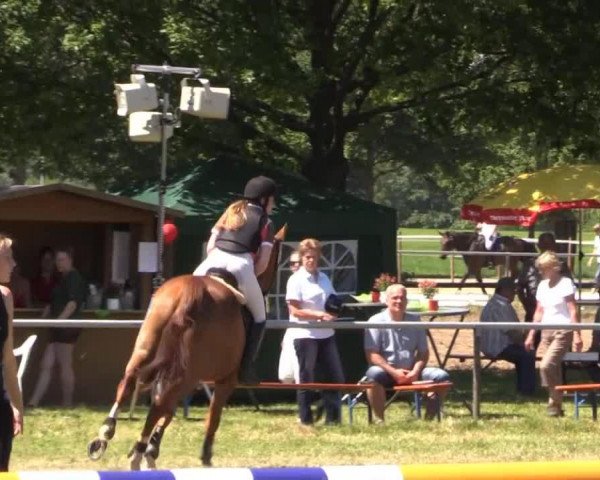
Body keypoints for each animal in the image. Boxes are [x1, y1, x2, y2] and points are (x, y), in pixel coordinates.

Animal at [86, 225, 288, 468]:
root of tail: (188, 295)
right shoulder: (224, 380)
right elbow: (212, 416)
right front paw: (203, 455)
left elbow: (170, 411)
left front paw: (152, 450)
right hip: (190, 374)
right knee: (160, 405)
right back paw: (137, 452)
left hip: (150, 347)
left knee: (130, 384)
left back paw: (106, 435)